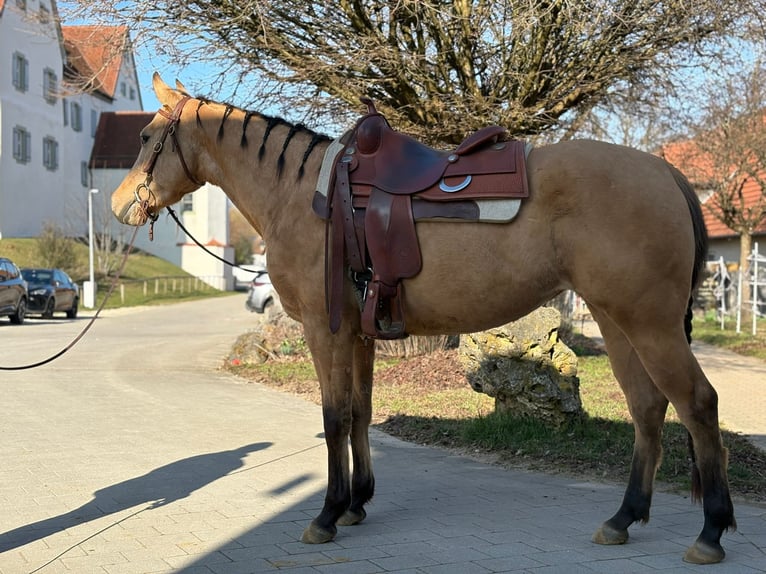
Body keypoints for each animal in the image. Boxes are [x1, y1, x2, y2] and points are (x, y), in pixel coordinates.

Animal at [111, 73, 734, 565]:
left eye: (143, 137)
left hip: (649, 323)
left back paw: (710, 532)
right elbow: (360, 413)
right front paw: (358, 502)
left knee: (698, 405)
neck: (303, 196)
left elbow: (334, 417)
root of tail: (665, 173)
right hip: (616, 319)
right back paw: (623, 518)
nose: (119, 206)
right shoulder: (359, 334)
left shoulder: (324, 329)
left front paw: (327, 513)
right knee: (648, 409)